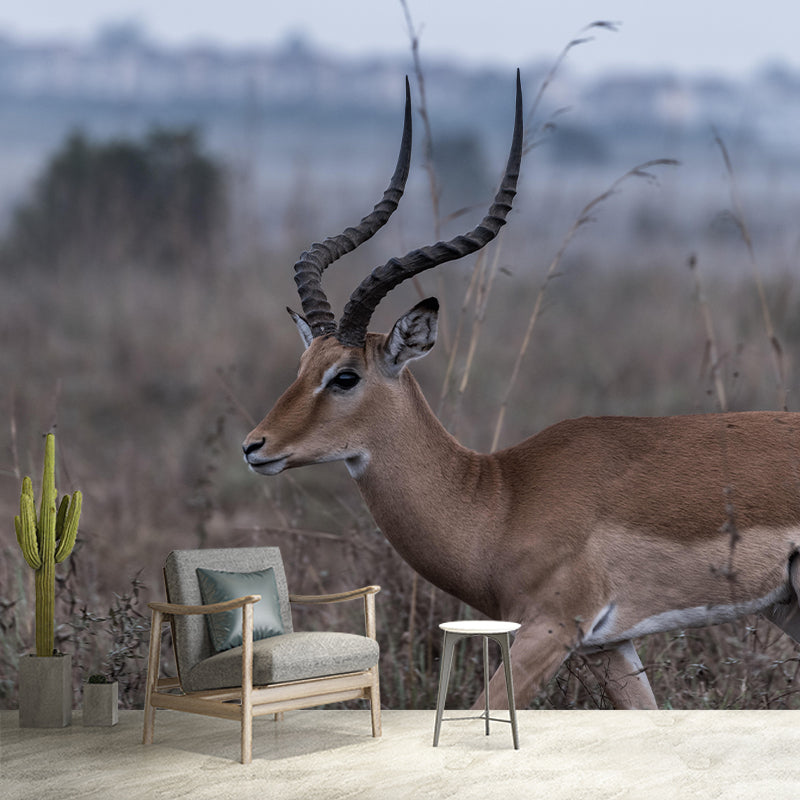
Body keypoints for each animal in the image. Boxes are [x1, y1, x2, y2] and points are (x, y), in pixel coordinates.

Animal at [243, 72, 800, 709]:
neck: (499, 501)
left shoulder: (549, 631)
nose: (255, 446)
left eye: (345, 376)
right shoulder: (608, 645)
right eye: (304, 362)